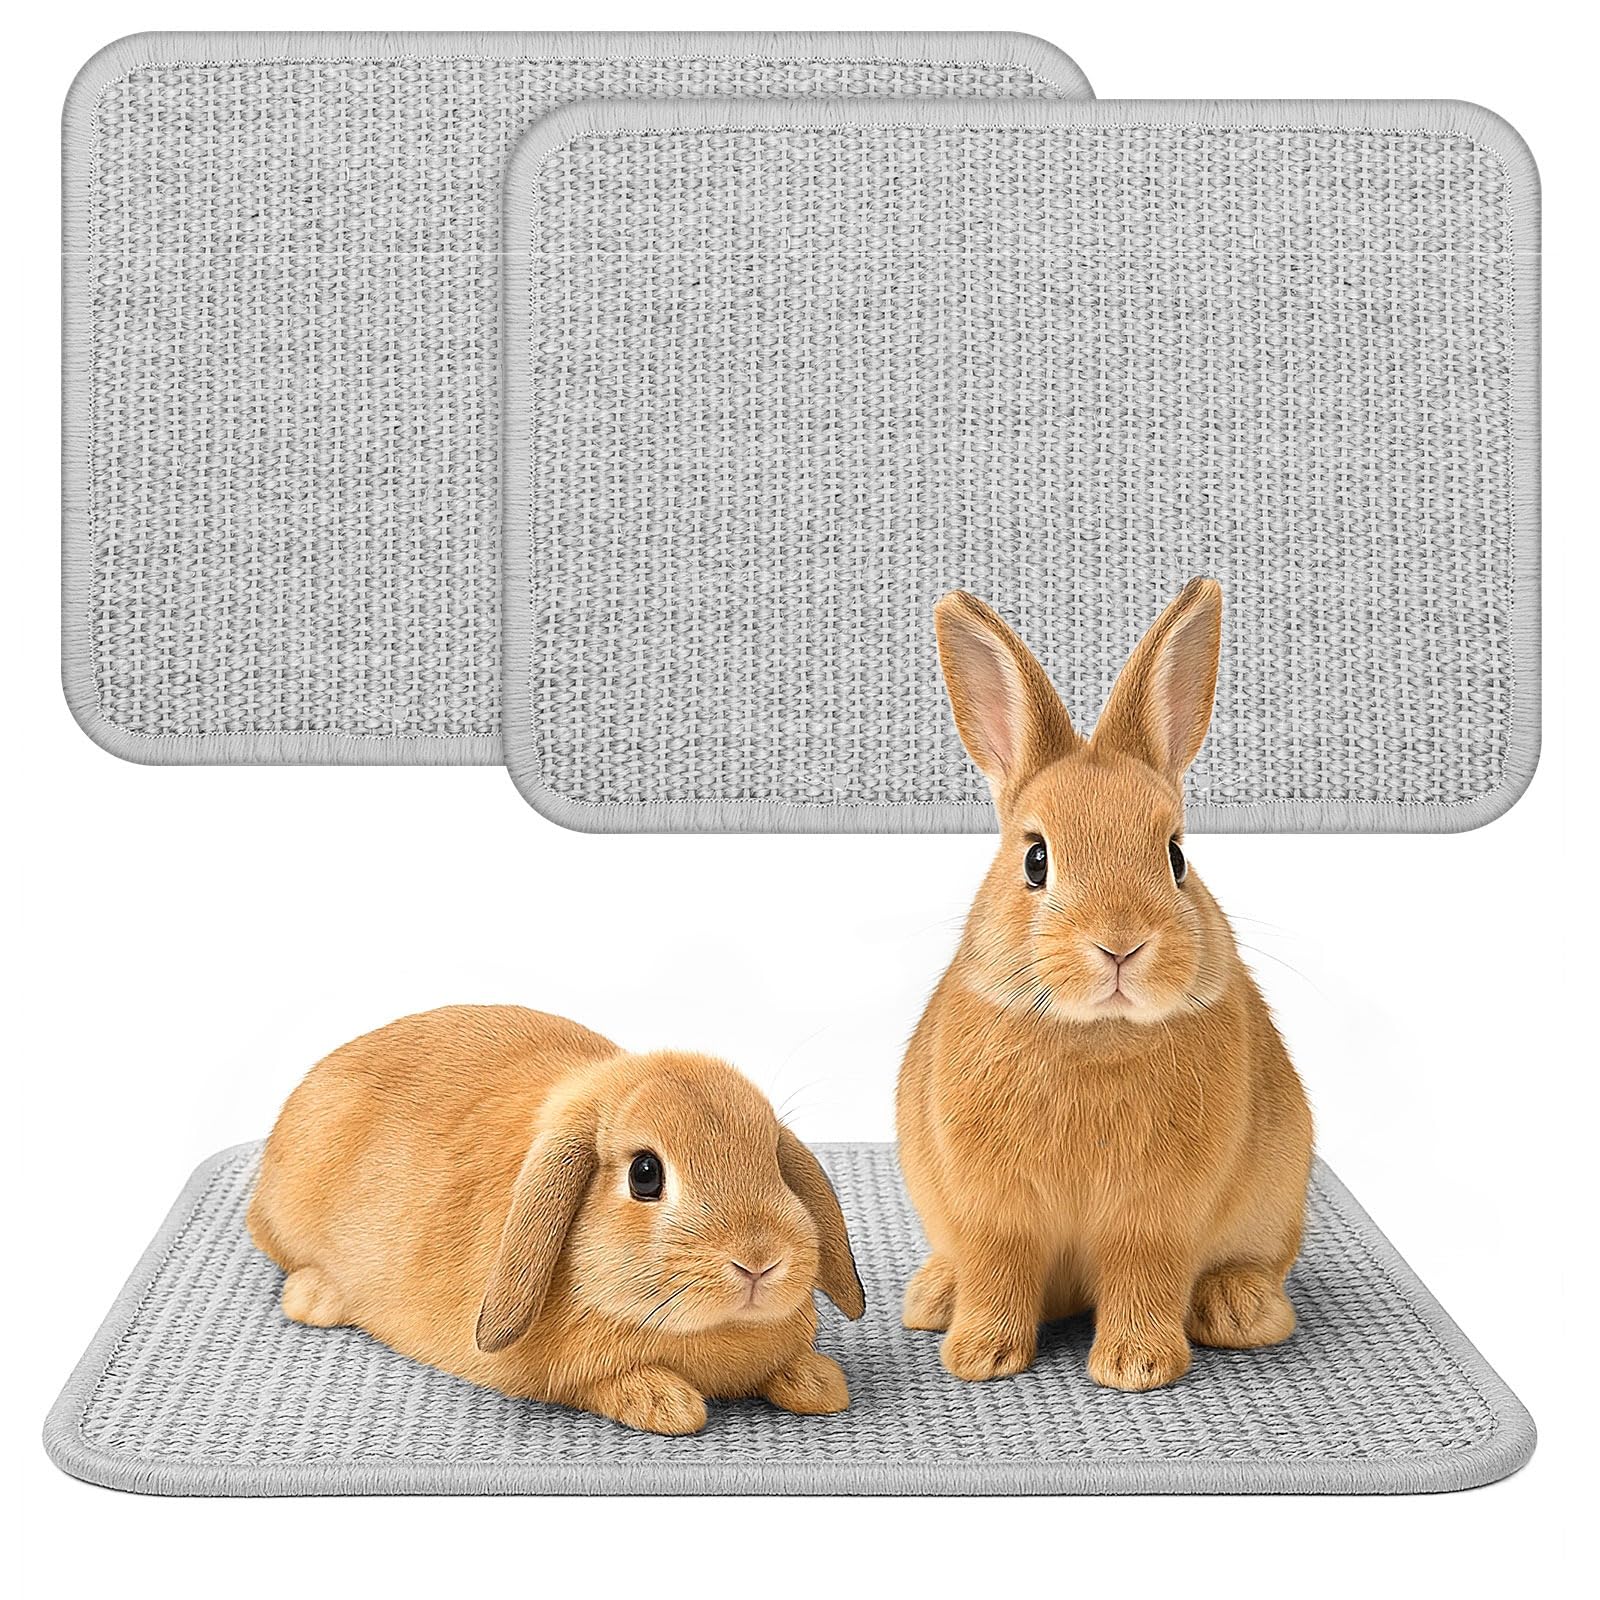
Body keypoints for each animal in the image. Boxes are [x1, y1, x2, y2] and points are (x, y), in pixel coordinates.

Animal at [248, 1005, 865, 1434]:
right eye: (645, 1174)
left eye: (774, 1163)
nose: (759, 1261)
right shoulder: (575, 1377)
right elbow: (621, 1388)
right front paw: (667, 1403)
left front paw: (819, 1383)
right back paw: (316, 1297)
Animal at [897, 580, 1313, 1392]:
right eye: (1035, 860)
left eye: (1176, 856)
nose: (1120, 943)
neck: (1096, 1035)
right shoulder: (993, 1210)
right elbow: (998, 1269)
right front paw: (980, 1358)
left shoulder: (1157, 1214)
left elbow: (1144, 1273)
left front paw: (1135, 1367)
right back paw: (934, 1297)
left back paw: (1238, 1308)